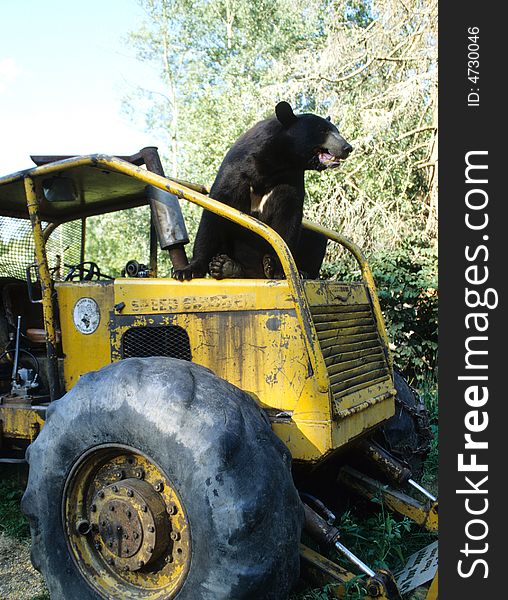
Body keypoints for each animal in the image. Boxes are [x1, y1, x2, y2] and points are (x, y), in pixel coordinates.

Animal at [173, 101, 352, 282]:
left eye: (336, 130)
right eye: (323, 130)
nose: (347, 147)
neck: (273, 163)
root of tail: (254, 274)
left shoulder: (289, 179)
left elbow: (287, 218)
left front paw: (280, 269)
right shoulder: (234, 172)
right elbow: (214, 214)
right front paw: (187, 270)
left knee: (317, 239)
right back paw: (225, 267)